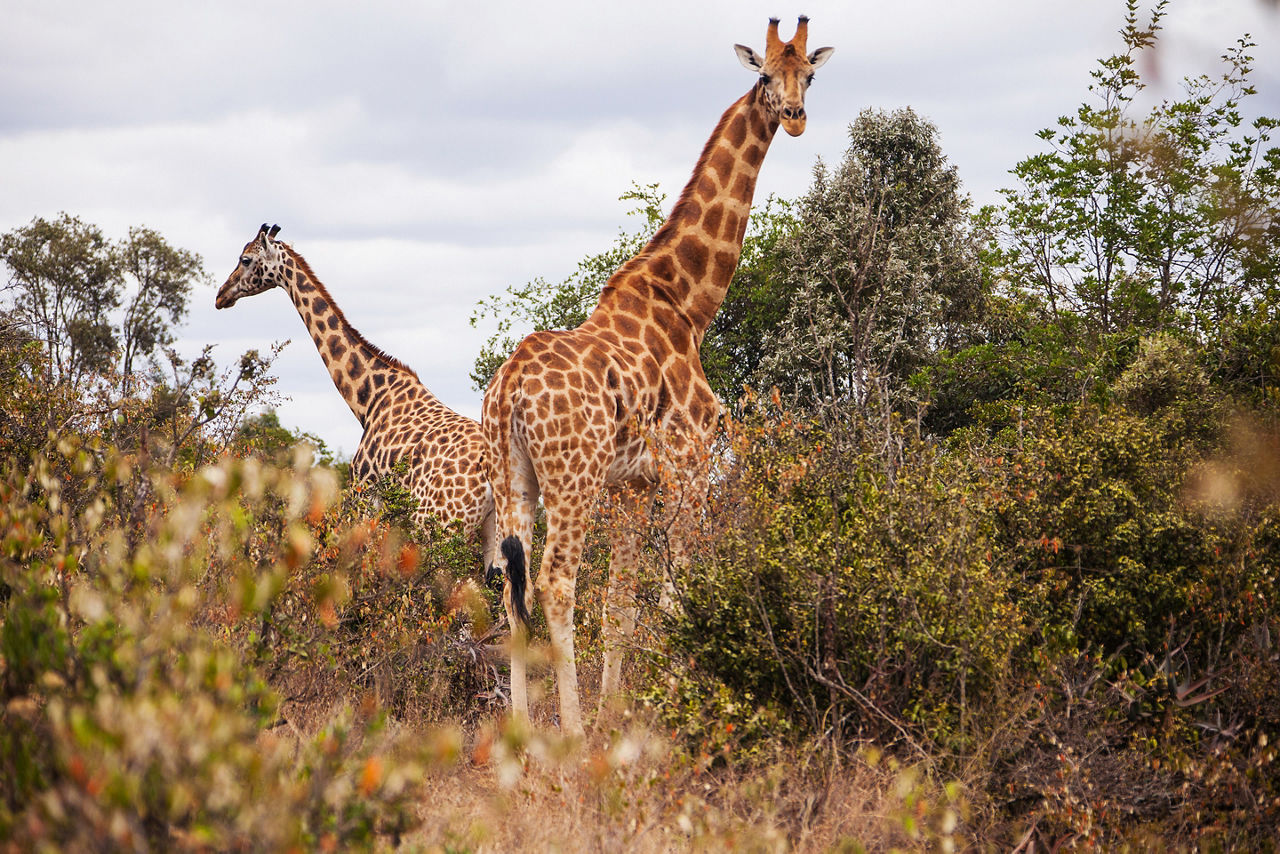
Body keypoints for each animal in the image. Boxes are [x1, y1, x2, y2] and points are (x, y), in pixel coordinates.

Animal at [483, 18, 834, 737]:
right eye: (765, 75)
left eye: (809, 76)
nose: (794, 117)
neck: (689, 302)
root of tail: (507, 391)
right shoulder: (689, 465)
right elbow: (678, 597)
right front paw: (666, 710)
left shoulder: (633, 485)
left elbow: (623, 604)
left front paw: (620, 711)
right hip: (573, 477)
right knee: (556, 582)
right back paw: (570, 733)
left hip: (515, 479)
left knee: (511, 589)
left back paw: (525, 736)